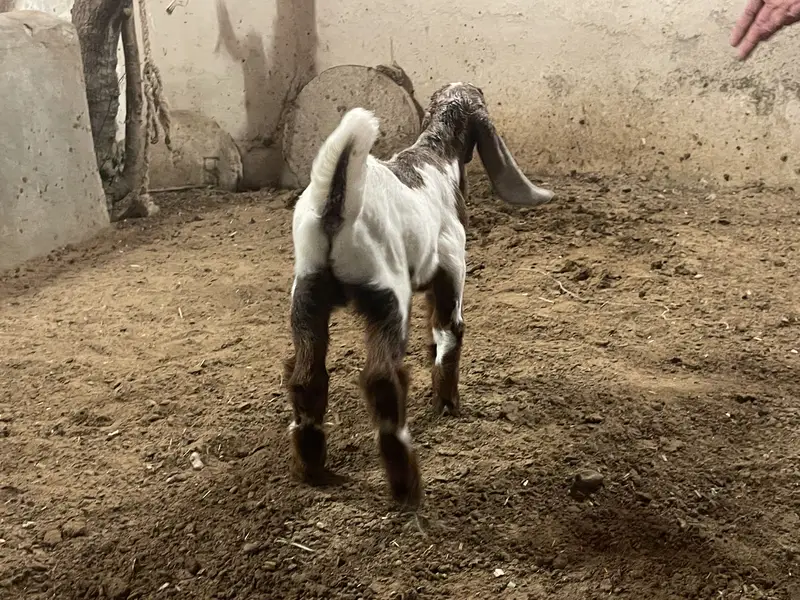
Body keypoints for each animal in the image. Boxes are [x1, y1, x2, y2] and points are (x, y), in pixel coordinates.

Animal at [284, 82, 554, 508]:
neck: (435, 156)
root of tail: (336, 206)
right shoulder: (451, 265)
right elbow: (449, 332)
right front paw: (447, 404)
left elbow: (434, 334)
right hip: (387, 294)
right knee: (382, 380)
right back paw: (405, 483)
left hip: (306, 294)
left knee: (306, 378)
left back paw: (312, 469)